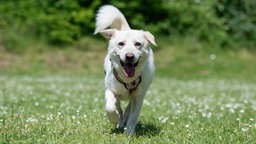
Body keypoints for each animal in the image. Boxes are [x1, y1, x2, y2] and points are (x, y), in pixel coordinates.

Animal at [94, 4, 156, 135]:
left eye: (138, 44)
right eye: (121, 44)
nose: (129, 56)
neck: (128, 79)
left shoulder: (138, 96)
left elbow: (133, 115)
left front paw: (129, 132)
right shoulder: (110, 90)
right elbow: (110, 107)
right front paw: (114, 120)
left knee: (128, 109)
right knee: (119, 108)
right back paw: (120, 122)